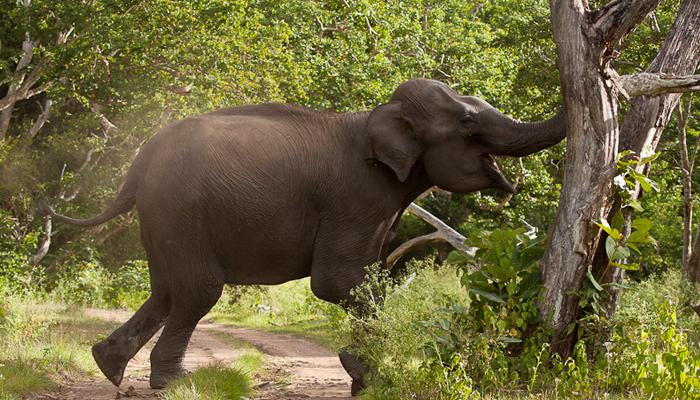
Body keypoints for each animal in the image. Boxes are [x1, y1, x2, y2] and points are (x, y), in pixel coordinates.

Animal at [45, 77, 564, 394]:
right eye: (468, 122)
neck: (377, 115)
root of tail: (138, 161)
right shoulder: (356, 198)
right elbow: (338, 283)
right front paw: (368, 377)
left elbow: (360, 280)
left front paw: (364, 377)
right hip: (179, 211)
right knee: (197, 290)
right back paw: (173, 383)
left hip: (160, 218)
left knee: (166, 290)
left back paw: (108, 365)